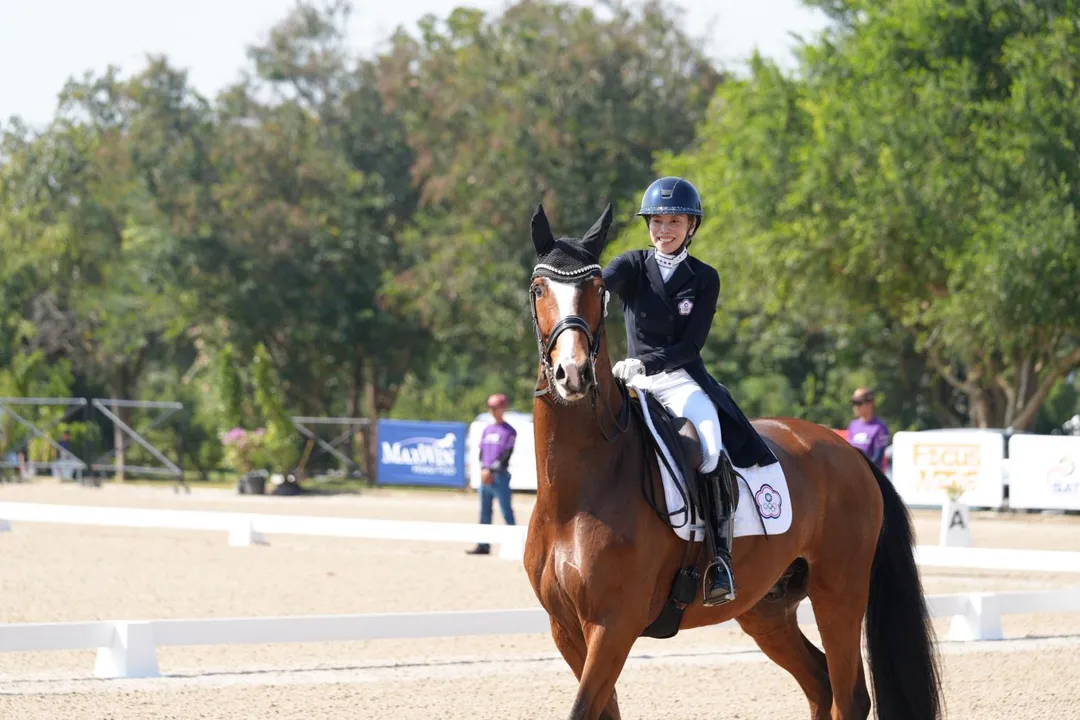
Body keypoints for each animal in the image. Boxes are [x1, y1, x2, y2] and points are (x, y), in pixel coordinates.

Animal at [522, 203, 943, 720]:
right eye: (539, 289)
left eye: (598, 289)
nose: (573, 374)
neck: (579, 492)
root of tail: (850, 452)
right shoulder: (566, 628)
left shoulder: (613, 625)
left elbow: (582, 708)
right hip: (766, 608)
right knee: (819, 682)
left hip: (839, 593)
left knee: (849, 695)